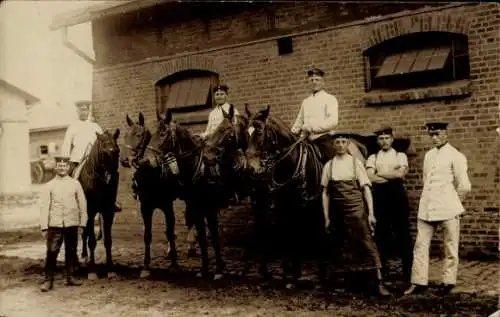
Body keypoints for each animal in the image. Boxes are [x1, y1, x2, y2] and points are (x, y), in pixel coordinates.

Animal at [79, 127, 121, 278]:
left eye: (117, 151)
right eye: (103, 152)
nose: (111, 177)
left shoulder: (108, 212)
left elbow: (108, 241)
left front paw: (110, 269)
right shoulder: (90, 213)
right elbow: (91, 241)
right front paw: (92, 271)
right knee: (84, 234)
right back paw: (84, 258)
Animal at [120, 111, 181, 276]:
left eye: (139, 134)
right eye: (125, 135)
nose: (124, 160)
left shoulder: (167, 206)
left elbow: (169, 231)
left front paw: (174, 264)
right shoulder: (145, 208)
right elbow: (147, 235)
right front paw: (146, 266)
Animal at [149, 108, 226, 278]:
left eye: (163, 132)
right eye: (152, 133)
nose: (149, 158)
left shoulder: (207, 207)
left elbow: (212, 235)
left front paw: (217, 268)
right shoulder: (192, 203)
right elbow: (196, 231)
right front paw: (204, 267)